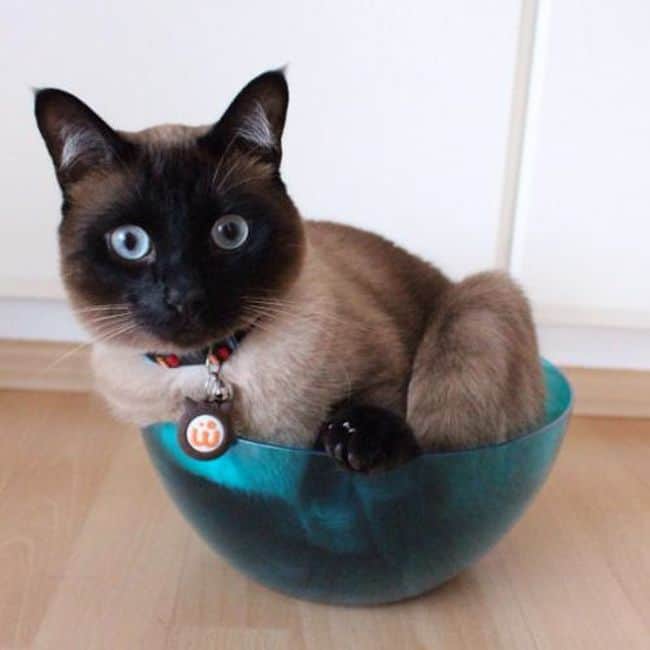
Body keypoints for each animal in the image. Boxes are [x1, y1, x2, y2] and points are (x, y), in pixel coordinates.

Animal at [35, 69, 545, 471]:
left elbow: (381, 409)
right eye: (131, 242)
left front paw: (354, 443)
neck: (212, 368)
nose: (185, 296)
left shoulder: (385, 368)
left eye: (229, 232)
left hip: (481, 296)